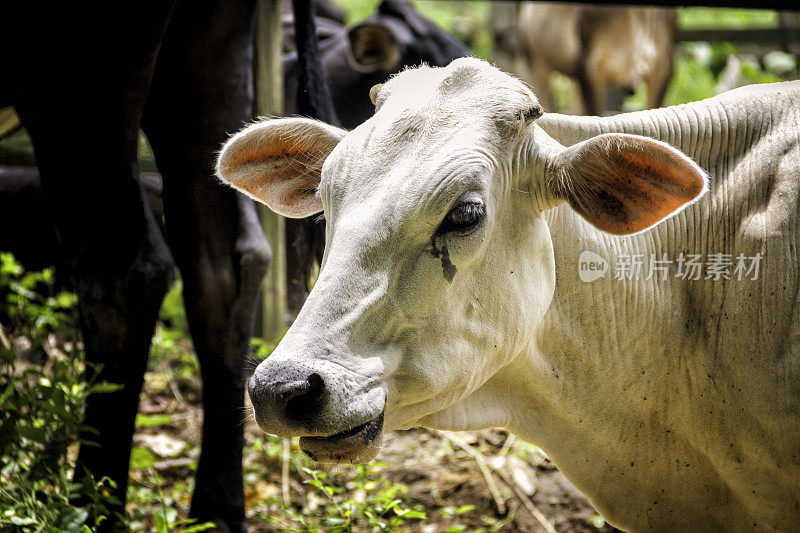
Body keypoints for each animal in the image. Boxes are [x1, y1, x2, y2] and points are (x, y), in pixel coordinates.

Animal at [0, 2, 332, 528]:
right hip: (206, 56)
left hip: (78, 80)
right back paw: (217, 511)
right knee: (227, 266)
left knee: (124, 269)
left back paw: (92, 506)